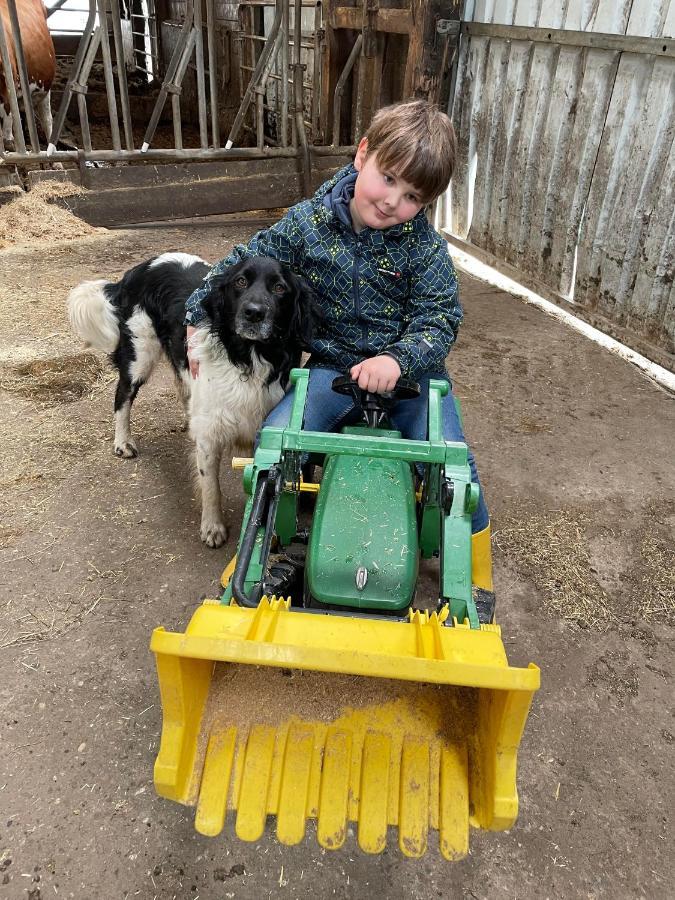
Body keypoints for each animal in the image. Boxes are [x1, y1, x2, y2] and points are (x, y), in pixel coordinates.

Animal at [68, 253, 320, 548]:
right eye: (240, 282)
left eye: (280, 288)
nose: (254, 312)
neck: (248, 356)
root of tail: (138, 269)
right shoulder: (210, 432)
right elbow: (211, 485)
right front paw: (212, 527)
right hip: (139, 355)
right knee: (122, 396)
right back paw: (123, 442)